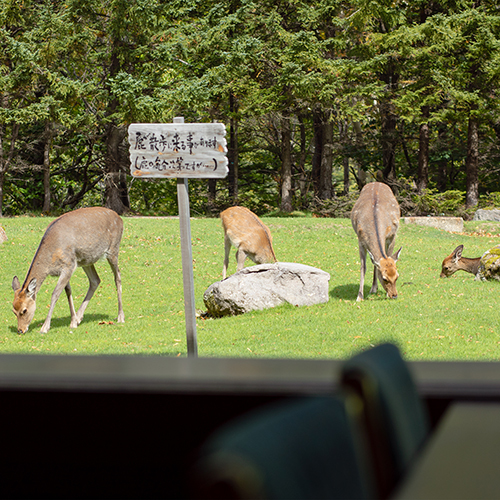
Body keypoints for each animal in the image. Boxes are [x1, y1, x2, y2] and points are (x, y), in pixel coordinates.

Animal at [11, 205, 125, 334]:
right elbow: (68, 291)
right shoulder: (66, 268)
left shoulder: (68, 265)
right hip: (86, 260)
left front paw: (44, 327)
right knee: (95, 280)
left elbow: (55, 294)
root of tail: (120, 218)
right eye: (13, 310)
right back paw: (80, 317)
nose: (20, 330)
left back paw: (120, 317)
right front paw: (73, 321)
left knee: (117, 276)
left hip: (113, 250)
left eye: (24, 310)